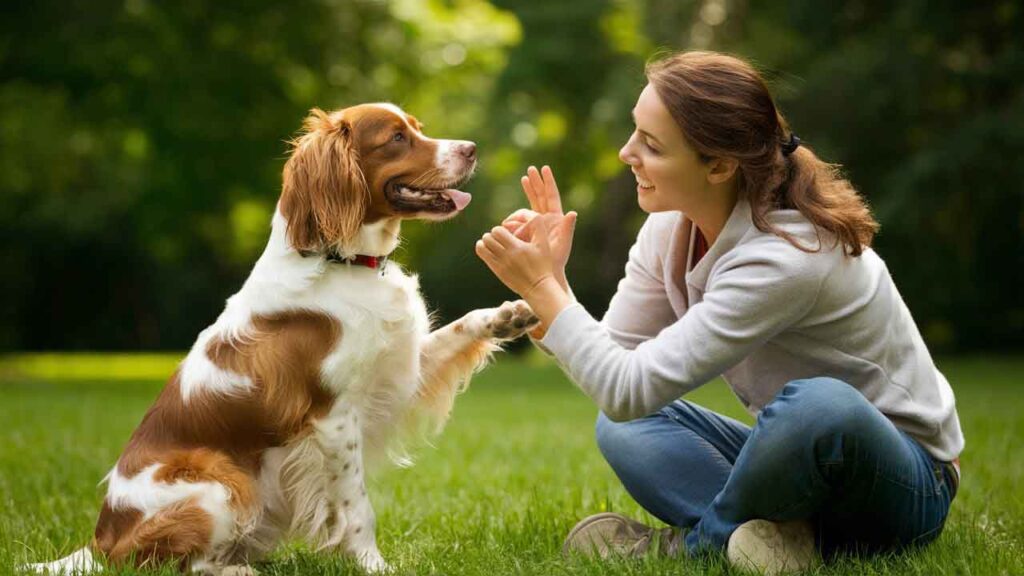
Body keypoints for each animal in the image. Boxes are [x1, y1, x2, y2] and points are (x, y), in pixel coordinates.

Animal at [25, 104, 536, 573]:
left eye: (418, 128)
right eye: (395, 138)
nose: (471, 149)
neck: (342, 260)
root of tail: (102, 541)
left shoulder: (396, 368)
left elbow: (460, 327)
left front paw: (510, 314)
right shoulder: (334, 417)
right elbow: (357, 506)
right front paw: (374, 565)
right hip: (219, 483)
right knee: (188, 565)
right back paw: (242, 569)